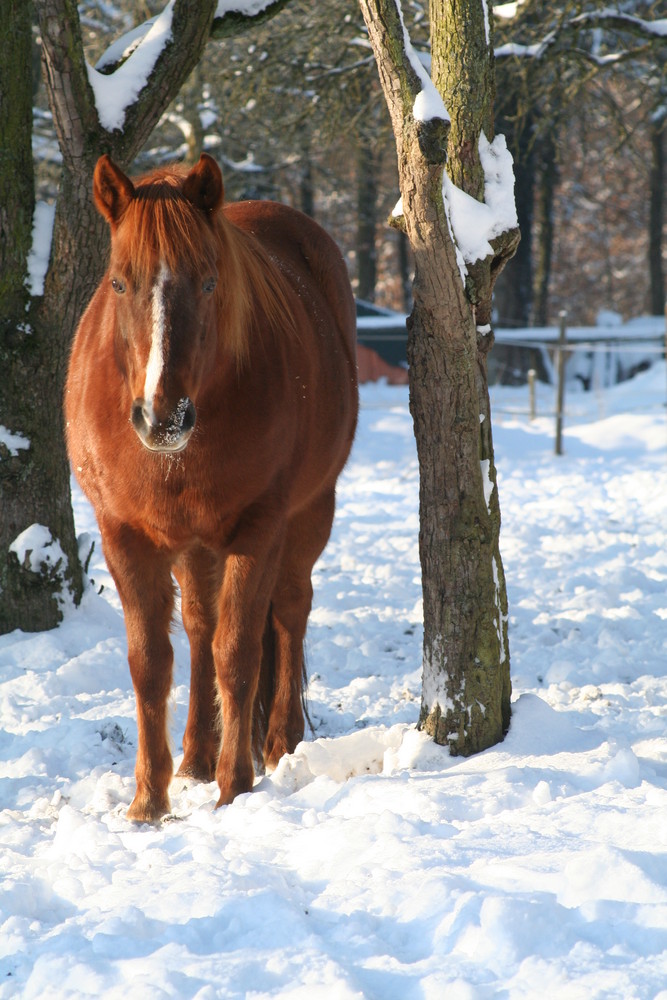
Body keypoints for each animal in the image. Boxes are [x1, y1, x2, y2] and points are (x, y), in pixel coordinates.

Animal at [66, 150, 360, 820]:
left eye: (207, 282)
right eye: (119, 282)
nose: (162, 416)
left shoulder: (259, 528)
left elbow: (239, 650)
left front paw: (235, 788)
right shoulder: (124, 535)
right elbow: (151, 662)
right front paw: (149, 800)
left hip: (308, 515)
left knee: (289, 612)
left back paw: (277, 745)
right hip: (195, 546)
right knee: (200, 628)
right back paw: (196, 757)